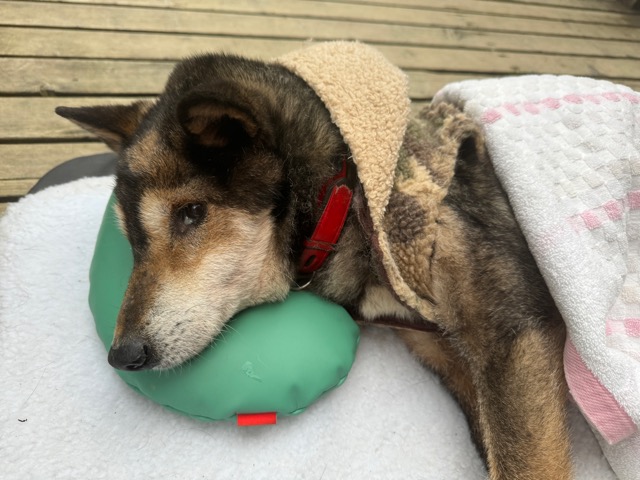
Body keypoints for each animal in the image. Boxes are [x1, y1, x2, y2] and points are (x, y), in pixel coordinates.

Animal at [56, 51, 571, 479]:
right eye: (133, 242)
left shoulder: (511, 337)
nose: (122, 354)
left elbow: (522, 461)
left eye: (191, 214)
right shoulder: (445, 349)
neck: (344, 202)